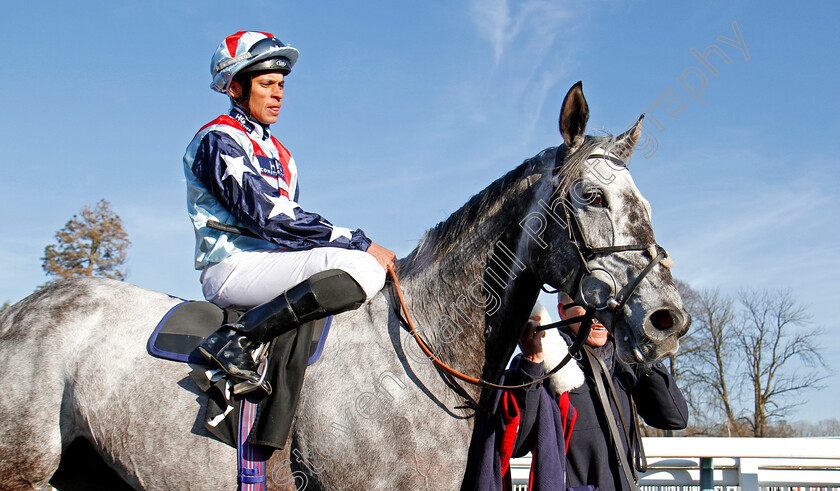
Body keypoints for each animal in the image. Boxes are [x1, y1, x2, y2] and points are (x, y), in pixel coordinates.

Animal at [0, 82, 688, 490]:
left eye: (647, 203)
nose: (667, 320)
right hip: (23, 465)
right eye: (593, 197)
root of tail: (24, 308)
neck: (423, 354)